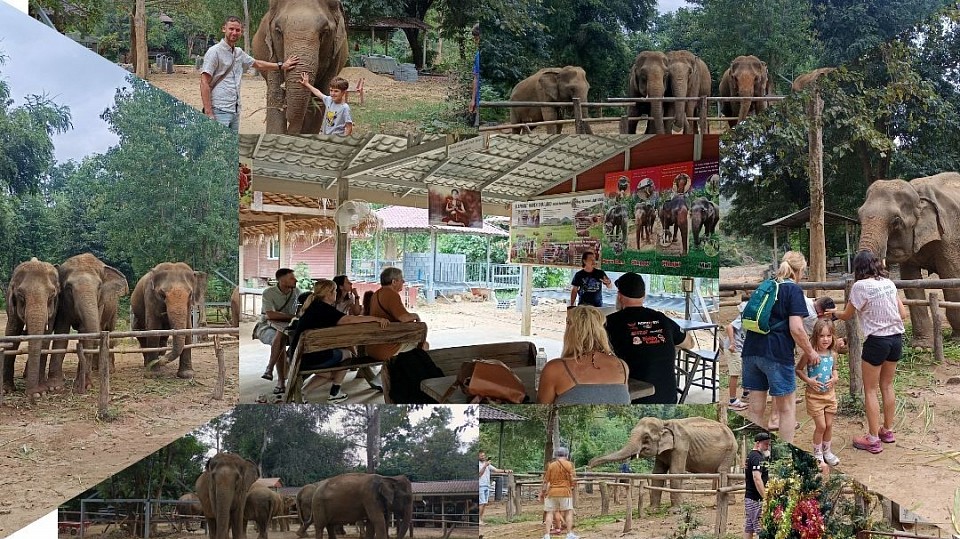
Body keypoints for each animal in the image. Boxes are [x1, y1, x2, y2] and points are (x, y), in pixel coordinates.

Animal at [2, 258, 58, 400]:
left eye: (51, 296)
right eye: (21, 296)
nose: (32, 394)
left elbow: (45, 338)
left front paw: (40, 392)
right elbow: (12, 334)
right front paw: (6, 390)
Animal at [49, 254, 128, 392]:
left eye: (99, 287)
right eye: (68, 287)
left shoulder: (100, 304)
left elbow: (85, 332)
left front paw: (86, 385)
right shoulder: (63, 305)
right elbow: (61, 334)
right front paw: (55, 387)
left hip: (114, 309)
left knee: (109, 330)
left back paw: (108, 369)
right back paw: (96, 368)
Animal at [251, 0, 348, 135]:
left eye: (324, 32)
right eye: (278, 31)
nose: (285, 107)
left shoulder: (335, 56)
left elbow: (319, 97)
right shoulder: (272, 51)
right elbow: (275, 94)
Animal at [584, 416, 736, 508]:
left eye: (646, 438)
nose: (589, 464)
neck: (664, 422)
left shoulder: (681, 445)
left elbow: (675, 472)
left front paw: (675, 511)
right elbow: (657, 473)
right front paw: (652, 509)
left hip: (730, 450)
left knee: (722, 471)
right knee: (726, 473)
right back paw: (729, 503)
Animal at [860, 175, 960, 348]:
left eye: (896, 221)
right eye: (859, 215)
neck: (917, 194)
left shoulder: (948, 236)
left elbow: (951, 277)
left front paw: (957, 339)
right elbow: (910, 281)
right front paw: (921, 347)